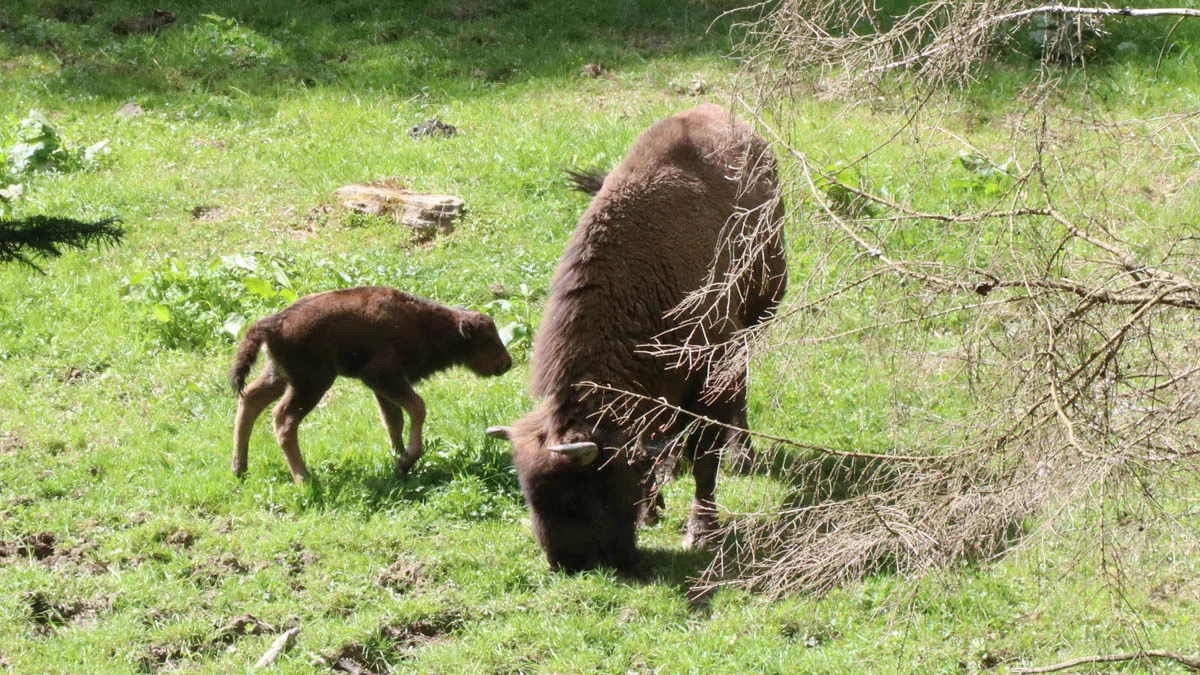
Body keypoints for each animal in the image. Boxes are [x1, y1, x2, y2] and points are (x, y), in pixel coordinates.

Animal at [229, 285, 511, 480]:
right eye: (488, 339)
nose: (506, 363)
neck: (423, 322)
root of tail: (272, 324)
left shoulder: (383, 388)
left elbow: (394, 421)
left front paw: (400, 461)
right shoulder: (383, 377)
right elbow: (417, 407)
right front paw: (407, 460)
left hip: (279, 377)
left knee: (250, 399)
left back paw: (240, 469)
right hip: (311, 384)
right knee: (283, 419)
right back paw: (305, 479)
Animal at [487, 102, 787, 569]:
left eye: (582, 493)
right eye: (529, 495)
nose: (567, 563)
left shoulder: (714, 372)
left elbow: (705, 458)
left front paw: (701, 533)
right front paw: (652, 509)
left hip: (760, 313)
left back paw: (743, 456)